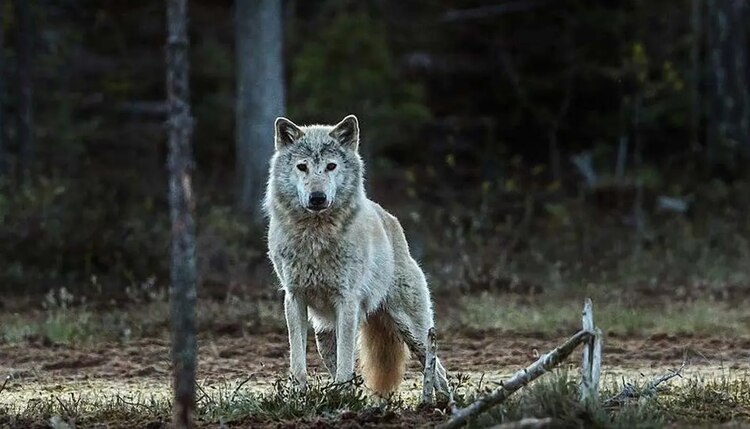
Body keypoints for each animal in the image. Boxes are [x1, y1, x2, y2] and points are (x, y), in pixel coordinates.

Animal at [264, 114, 449, 396]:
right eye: (302, 167)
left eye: (331, 166)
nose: (317, 197)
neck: (316, 238)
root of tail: (391, 220)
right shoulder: (293, 299)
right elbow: (298, 360)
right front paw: (299, 394)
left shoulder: (347, 301)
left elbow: (346, 361)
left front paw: (342, 394)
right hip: (324, 336)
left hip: (413, 331)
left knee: (439, 370)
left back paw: (442, 402)